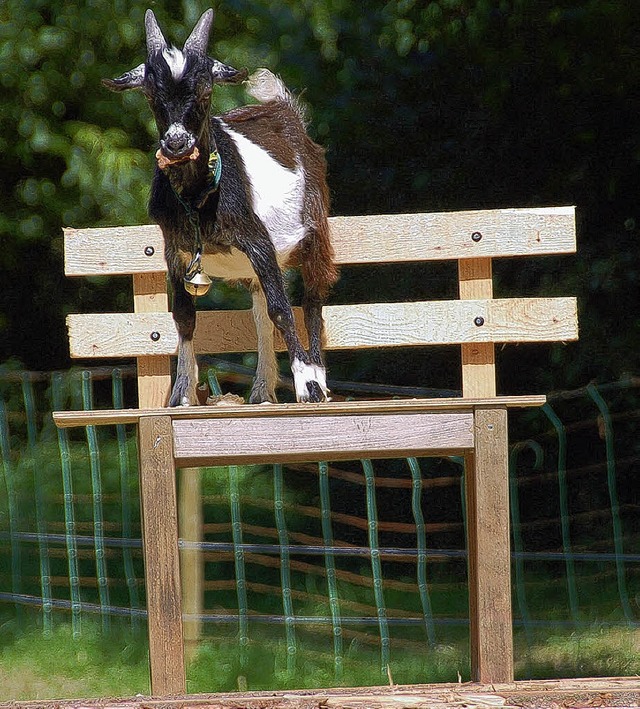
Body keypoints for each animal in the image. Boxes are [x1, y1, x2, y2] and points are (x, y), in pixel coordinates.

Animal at [102, 6, 338, 404]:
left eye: (206, 91)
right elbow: (184, 317)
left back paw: (317, 379)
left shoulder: (258, 241)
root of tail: (283, 111)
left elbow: (282, 310)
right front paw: (181, 393)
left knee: (311, 302)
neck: (198, 199)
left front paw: (307, 385)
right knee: (260, 312)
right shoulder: (175, 250)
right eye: (152, 95)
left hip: (314, 233)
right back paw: (261, 390)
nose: (176, 144)